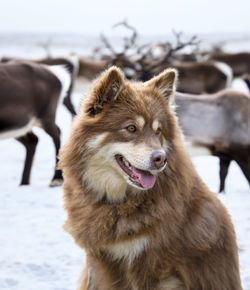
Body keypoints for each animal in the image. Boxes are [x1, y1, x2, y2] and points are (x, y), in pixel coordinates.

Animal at [58, 67, 242, 288]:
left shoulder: (149, 264)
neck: (116, 203)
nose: (160, 159)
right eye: (131, 128)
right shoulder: (100, 258)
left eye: (158, 131)